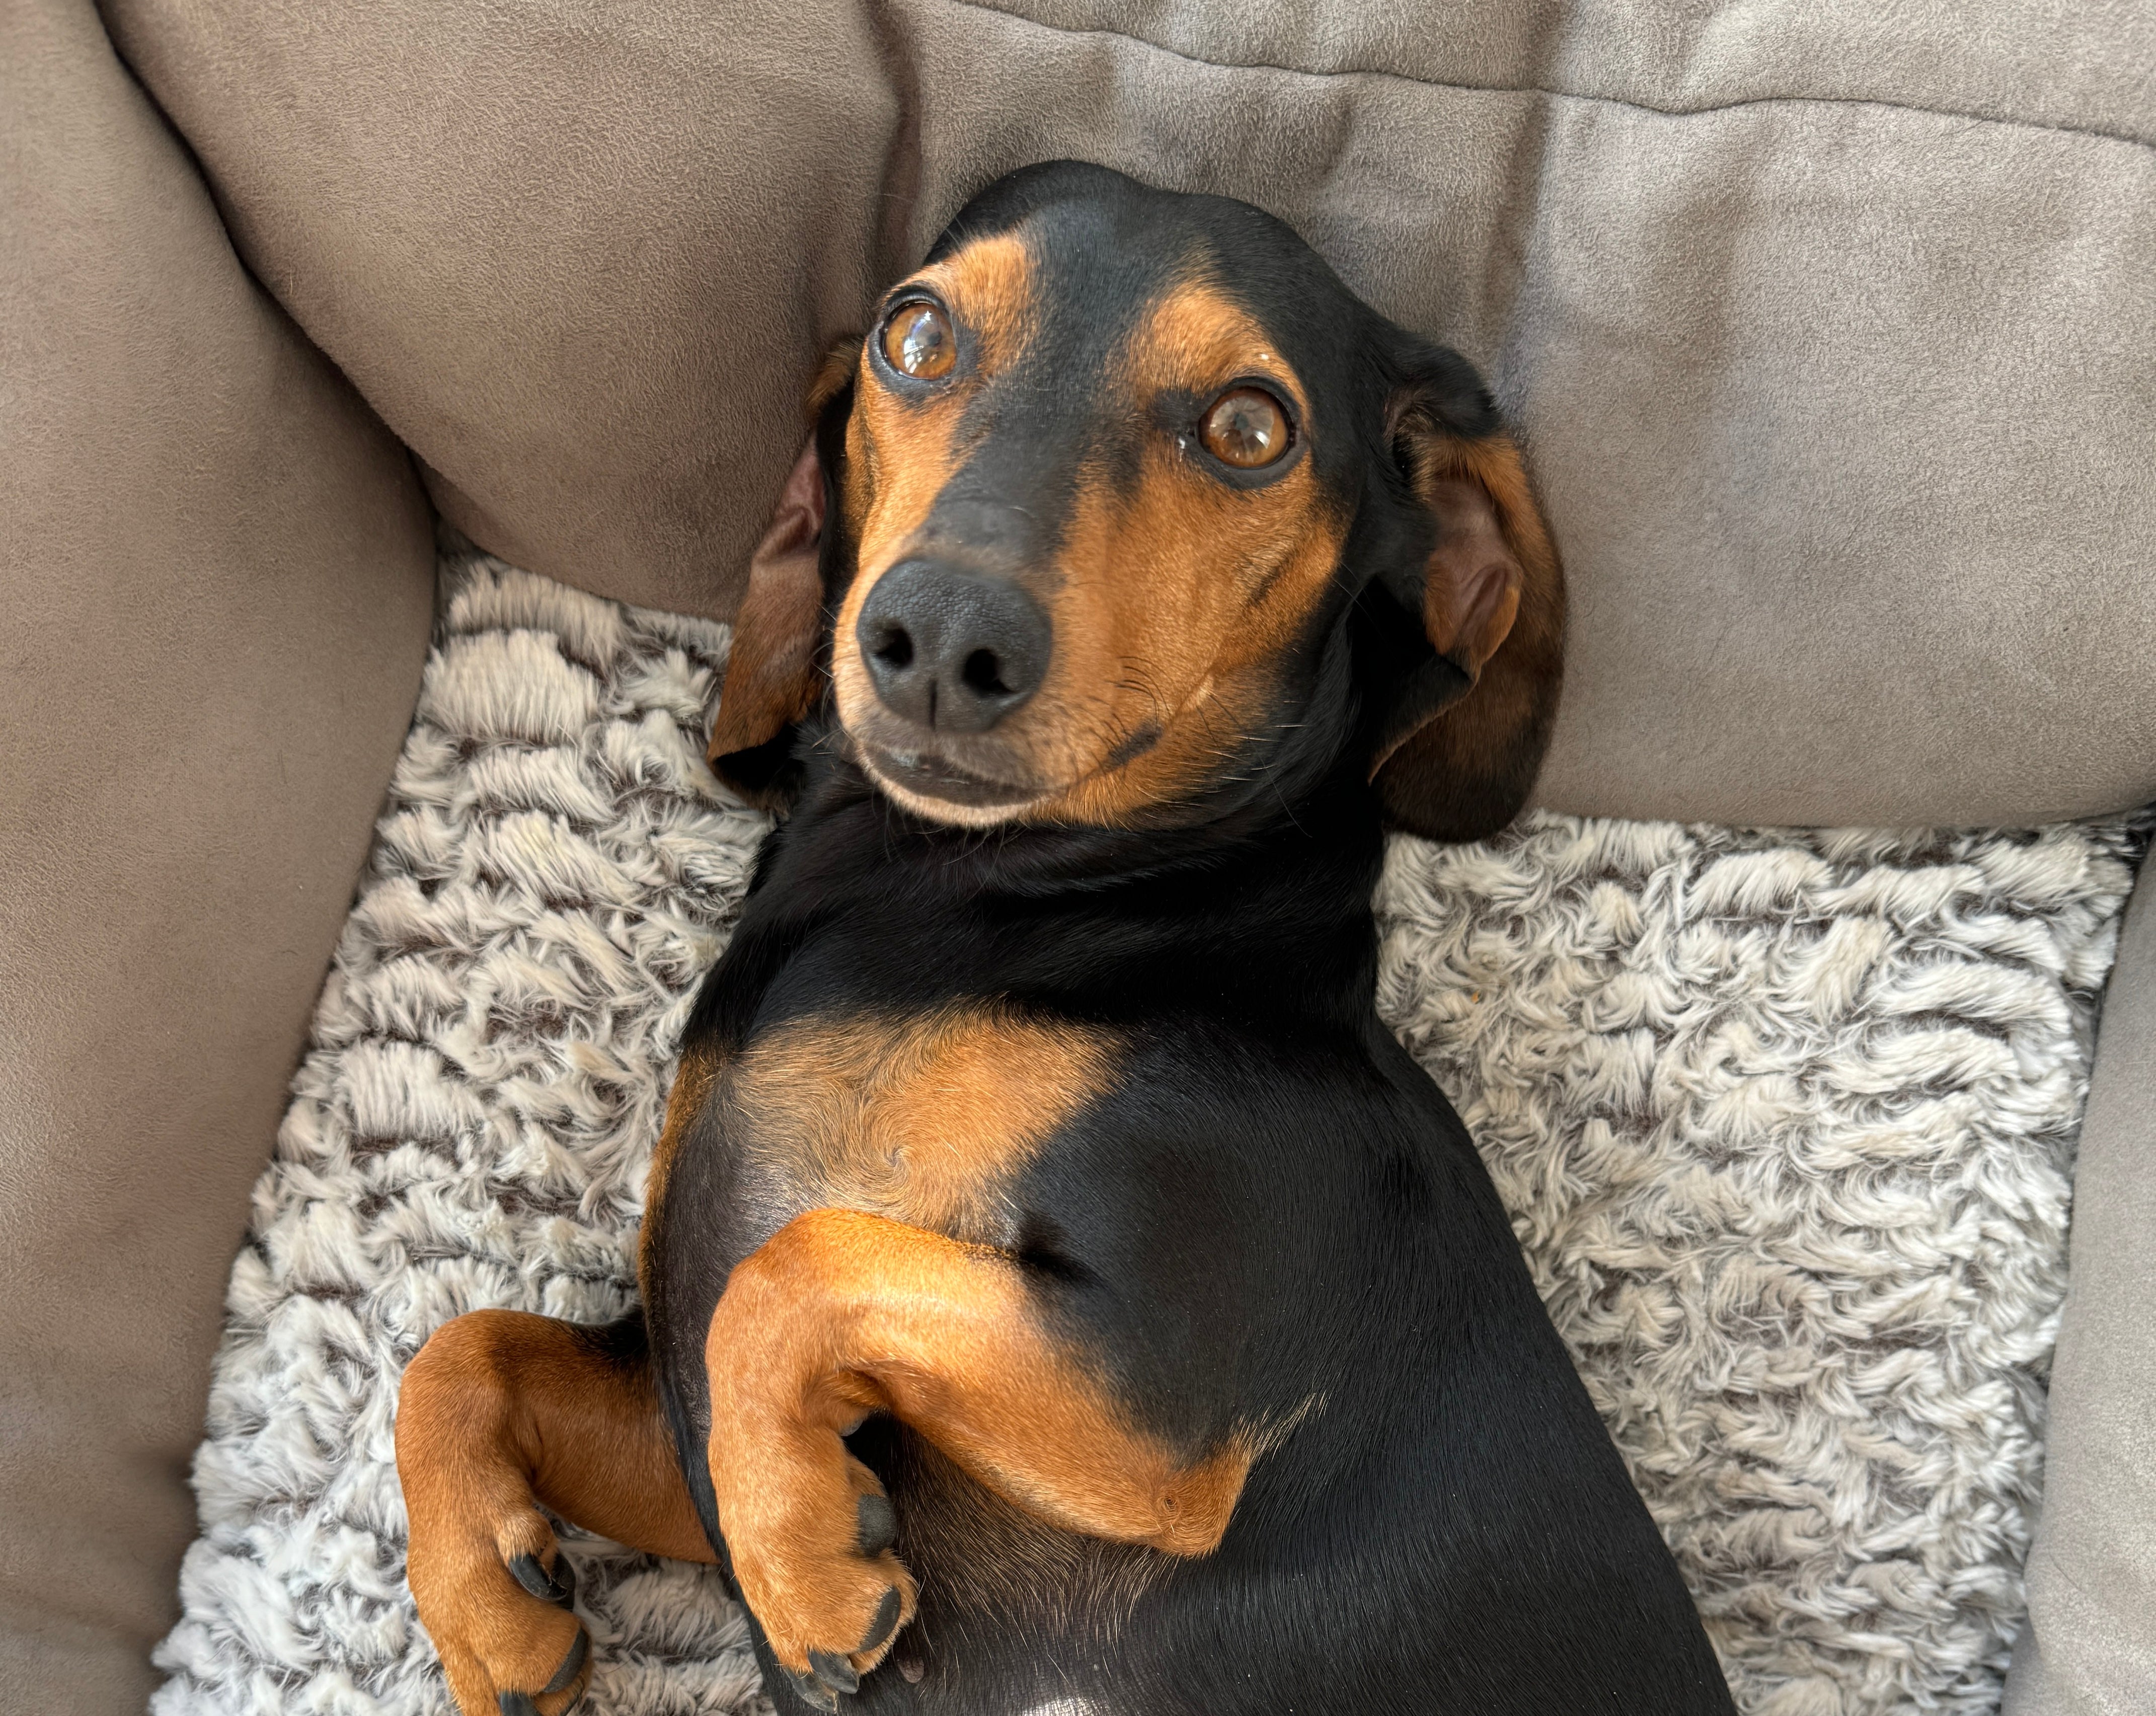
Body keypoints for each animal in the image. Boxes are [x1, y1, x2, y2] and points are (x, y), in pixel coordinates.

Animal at [395, 160, 1737, 1716]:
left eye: (1249, 430)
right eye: (914, 336)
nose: (938, 635)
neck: (965, 899)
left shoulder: (1156, 1391)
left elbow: (793, 1270)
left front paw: (804, 1569)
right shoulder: (684, 1453)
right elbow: (460, 1351)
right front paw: (492, 1615)